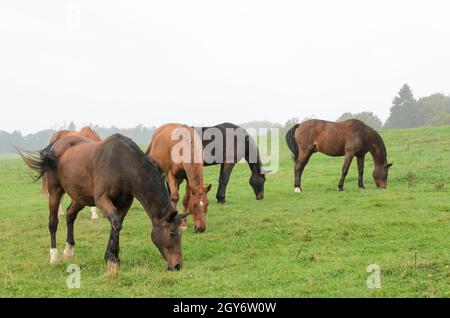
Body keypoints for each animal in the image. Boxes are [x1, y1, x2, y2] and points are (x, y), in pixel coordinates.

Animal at [17, 134, 185, 270]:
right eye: (172, 233)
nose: (177, 265)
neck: (122, 164)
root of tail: (56, 144)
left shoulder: (124, 203)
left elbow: (116, 225)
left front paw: (112, 257)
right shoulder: (102, 199)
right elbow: (116, 223)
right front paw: (112, 260)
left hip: (81, 197)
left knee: (70, 215)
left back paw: (69, 250)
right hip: (55, 192)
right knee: (53, 222)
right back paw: (54, 256)